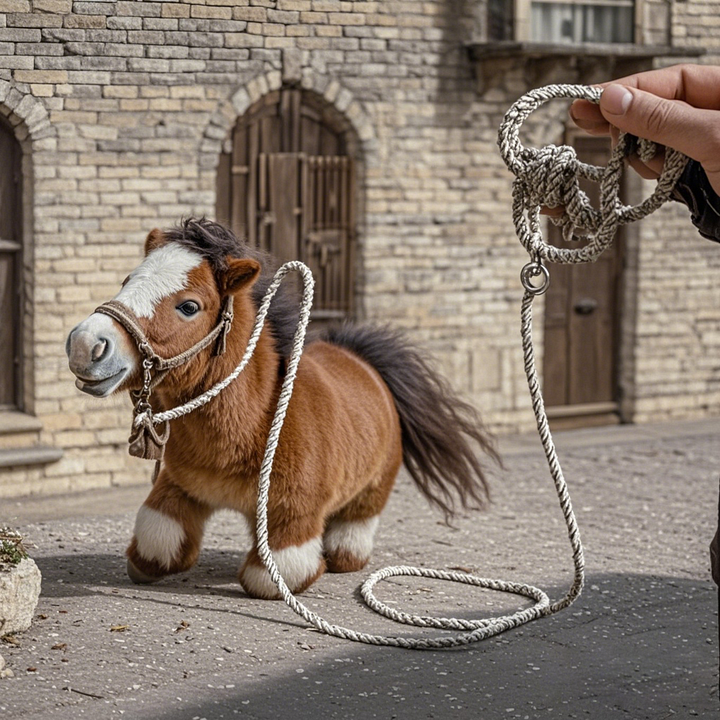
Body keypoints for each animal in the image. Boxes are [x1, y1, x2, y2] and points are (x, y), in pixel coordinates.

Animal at [66, 218, 499, 599]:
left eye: (188, 306)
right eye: (126, 281)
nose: (86, 345)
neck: (252, 424)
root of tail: (362, 360)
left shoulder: (294, 517)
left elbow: (270, 577)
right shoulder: (176, 486)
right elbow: (153, 548)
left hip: (373, 490)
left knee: (350, 539)